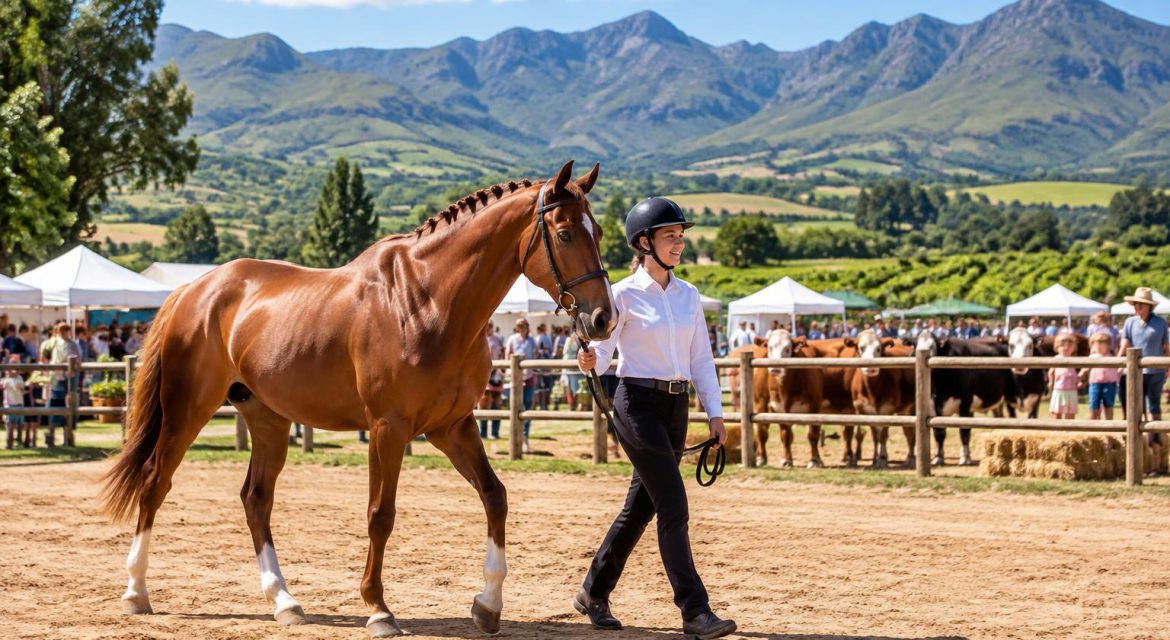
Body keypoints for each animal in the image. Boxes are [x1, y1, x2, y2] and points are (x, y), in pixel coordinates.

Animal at [99, 160, 617, 638]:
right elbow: (380, 515)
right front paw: (378, 609)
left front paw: (488, 604)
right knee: (155, 482)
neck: (429, 301)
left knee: (256, 498)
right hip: (187, 410)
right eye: (565, 233)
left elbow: (495, 497)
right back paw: (136, 591)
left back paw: (284, 600)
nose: (603, 319)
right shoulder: (388, 428)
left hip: (267, 418)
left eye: (599, 231)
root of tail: (195, 289)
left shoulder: (453, 426)